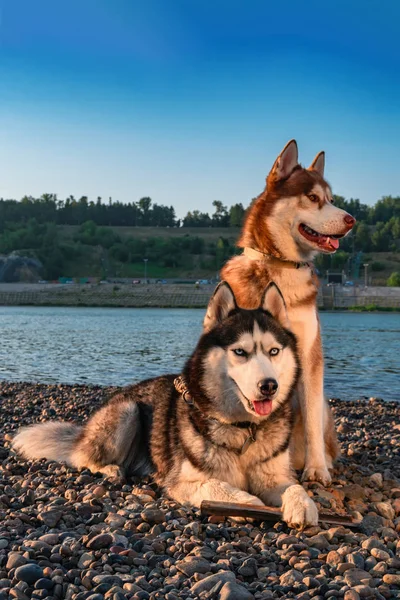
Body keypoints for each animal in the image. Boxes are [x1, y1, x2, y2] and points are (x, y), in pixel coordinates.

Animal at [13, 282, 318, 524]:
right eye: (240, 352)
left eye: (274, 351)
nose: (269, 386)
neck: (243, 431)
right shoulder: (181, 482)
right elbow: (220, 487)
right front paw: (248, 504)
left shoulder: (276, 476)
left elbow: (295, 487)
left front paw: (303, 504)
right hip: (127, 411)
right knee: (81, 457)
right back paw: (110, 468)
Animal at [222, 139, 356, 482]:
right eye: (313, 198)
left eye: (331, 199)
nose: (352, 220)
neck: (281, 270)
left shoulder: (310, 354)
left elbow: (310, 421)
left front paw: (317, 469)